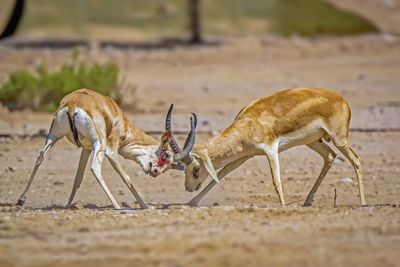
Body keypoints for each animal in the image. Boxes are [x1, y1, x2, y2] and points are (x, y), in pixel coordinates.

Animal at [17, 89, 194, 210]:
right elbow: (126, 177)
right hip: (99, 144)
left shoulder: (86, 149)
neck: (119, 119)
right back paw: (117, 206)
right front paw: (146, 206)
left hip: (53, 136)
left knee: (40, 157)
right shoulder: (110, 150)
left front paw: (68, 205)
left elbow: (78, 178)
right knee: (95, 168)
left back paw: (21, 200)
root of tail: (73, 104)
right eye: (165, 156)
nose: (155, 172)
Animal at [155, 88, 366, 207]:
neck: (248, 123)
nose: (189, 188)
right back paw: (307, 202)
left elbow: (276, 180)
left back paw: (363, 203)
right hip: (313, 141)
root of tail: (341, 100)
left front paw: (283, 206)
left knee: (355, 160)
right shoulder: (244, 156)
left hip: (339, 139)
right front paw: (191, 202)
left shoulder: (271, 149)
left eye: (196, 169)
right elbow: (221, 175)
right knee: (330, 156)